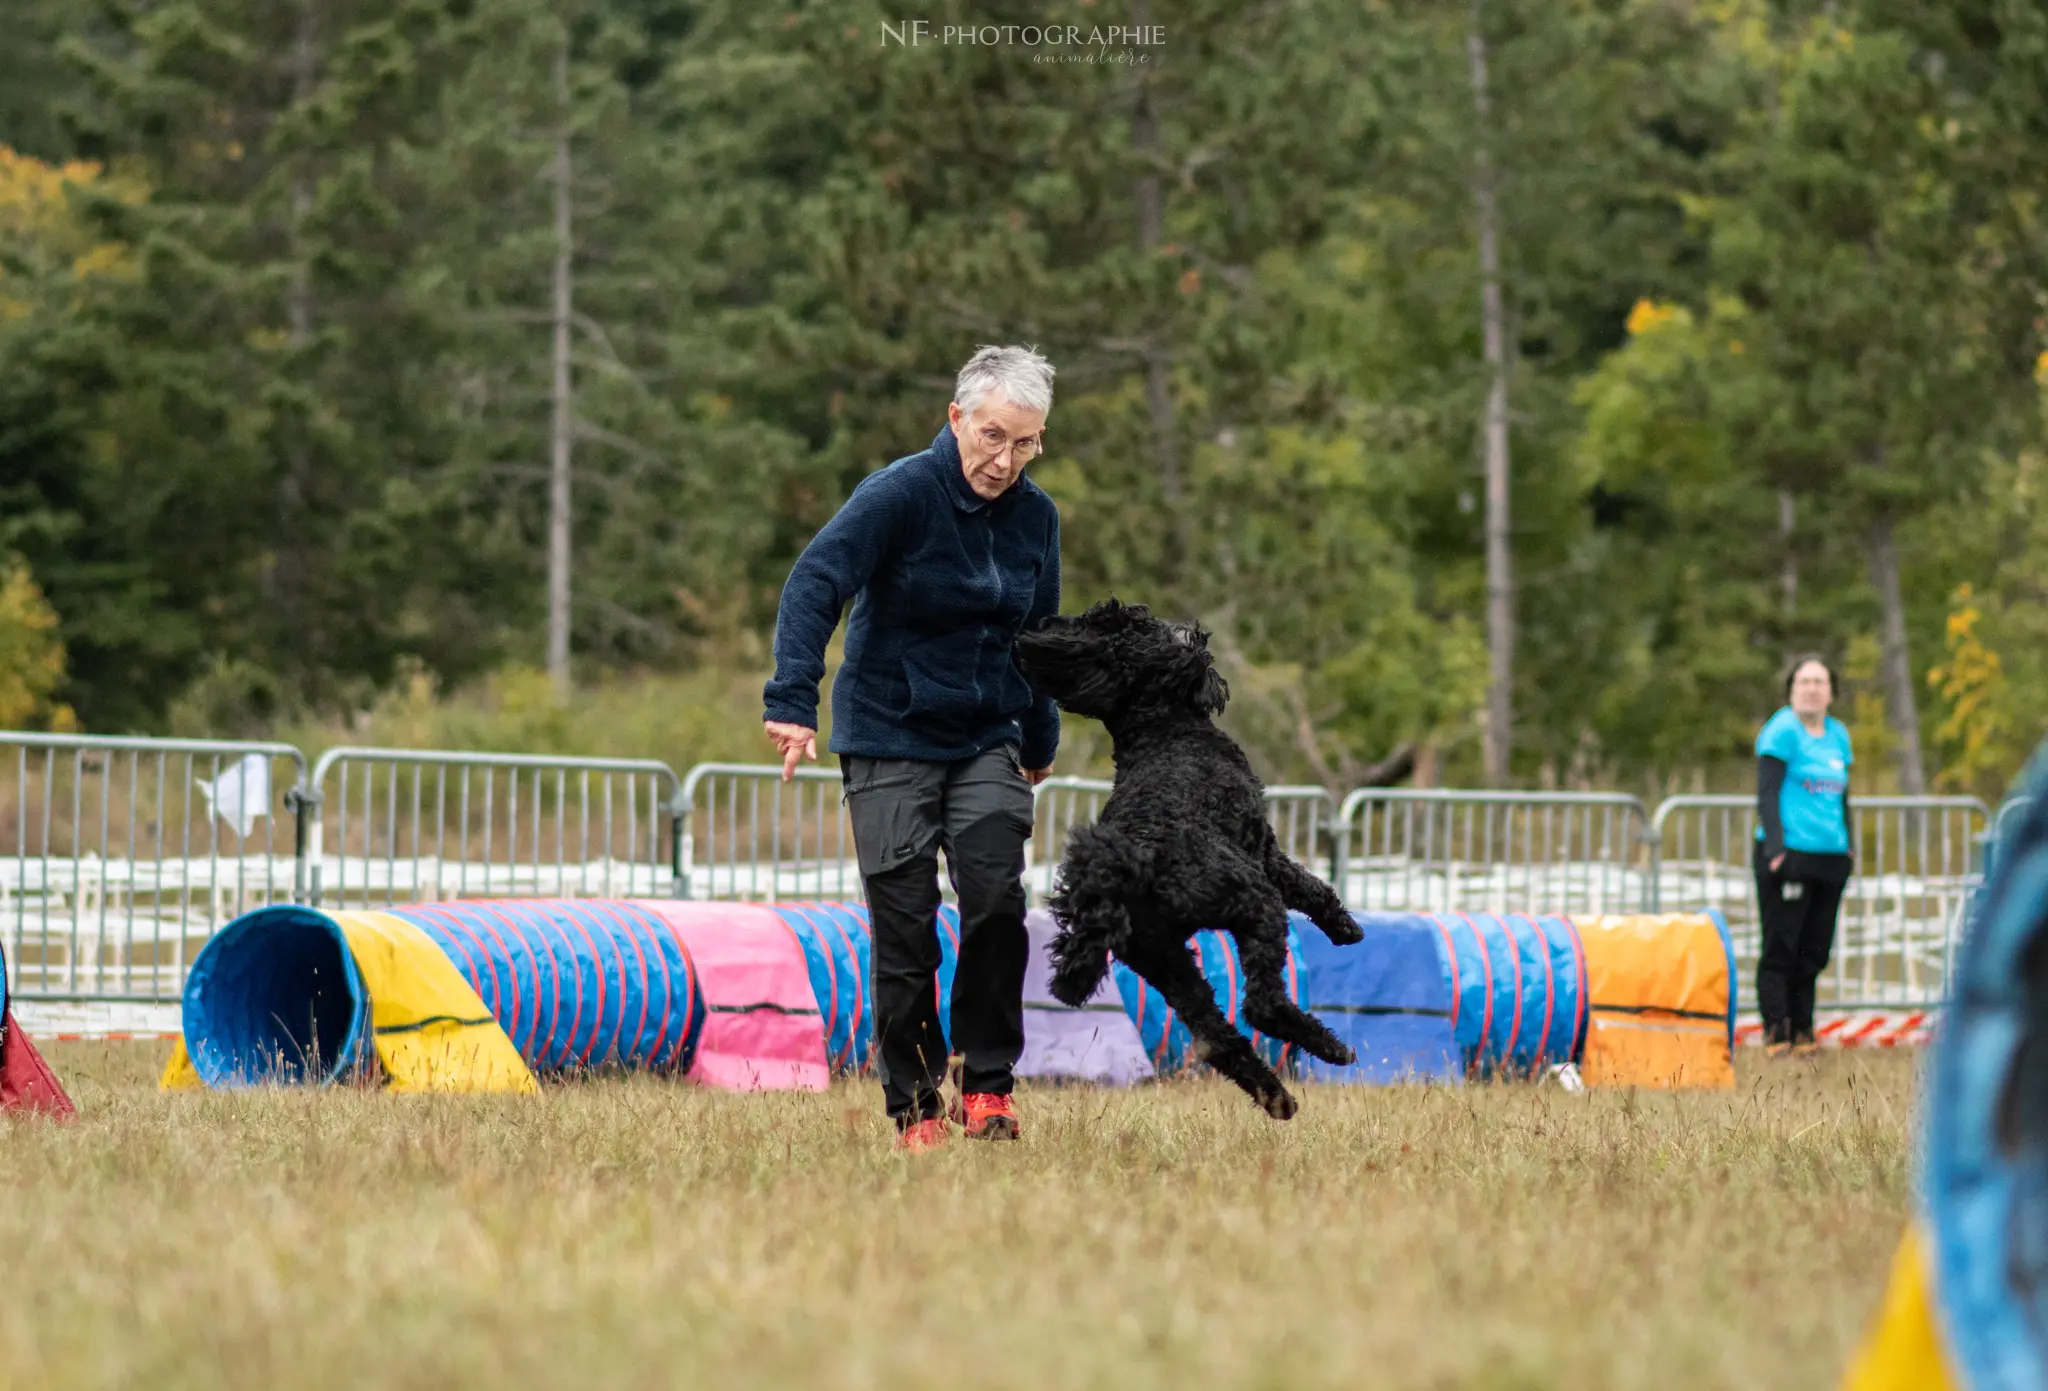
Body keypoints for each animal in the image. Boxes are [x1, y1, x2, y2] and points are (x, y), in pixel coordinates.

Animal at [1011, 598, 1359, 1122]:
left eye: (1096, 624)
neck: (1163, 731)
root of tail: (1131, 863)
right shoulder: (1267, 853)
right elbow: (1311, 886)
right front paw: (1345, 928)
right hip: (1253, 905)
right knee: (1261, 1005)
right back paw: (1332, 1048)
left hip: (1162, 957)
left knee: (1219, 1039)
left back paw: (1277, 1097)